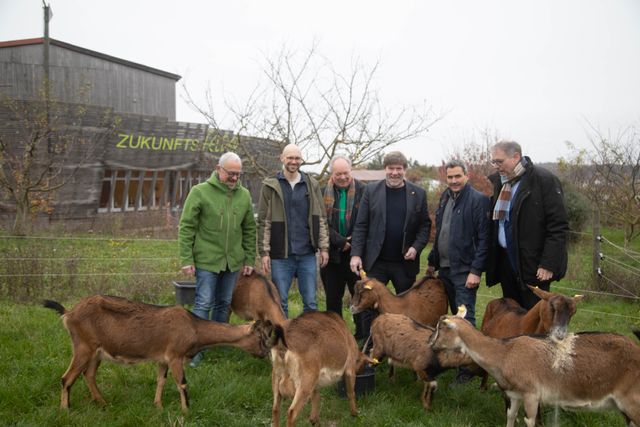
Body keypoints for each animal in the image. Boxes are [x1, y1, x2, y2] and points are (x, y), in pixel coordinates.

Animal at [43, 296, 270, 412]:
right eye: (261, 337)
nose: (266, 354)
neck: (194, 328)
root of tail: (69, 313)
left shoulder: (163, 358)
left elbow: (161, 380)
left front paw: (158, 405)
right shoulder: (176, 355)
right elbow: (182, 383)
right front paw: (186, 411)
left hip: (96, 352)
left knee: (88, 374)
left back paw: (102, 403)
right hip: (83, 347)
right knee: (66, 378)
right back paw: (66, 409)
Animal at [430, 308, 640, 427]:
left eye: (440, 328)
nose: (430, 343)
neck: (505, 353)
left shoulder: (532, 394)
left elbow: (529, 421)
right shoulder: (514, 394)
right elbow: (510, 416)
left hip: (633, 400)